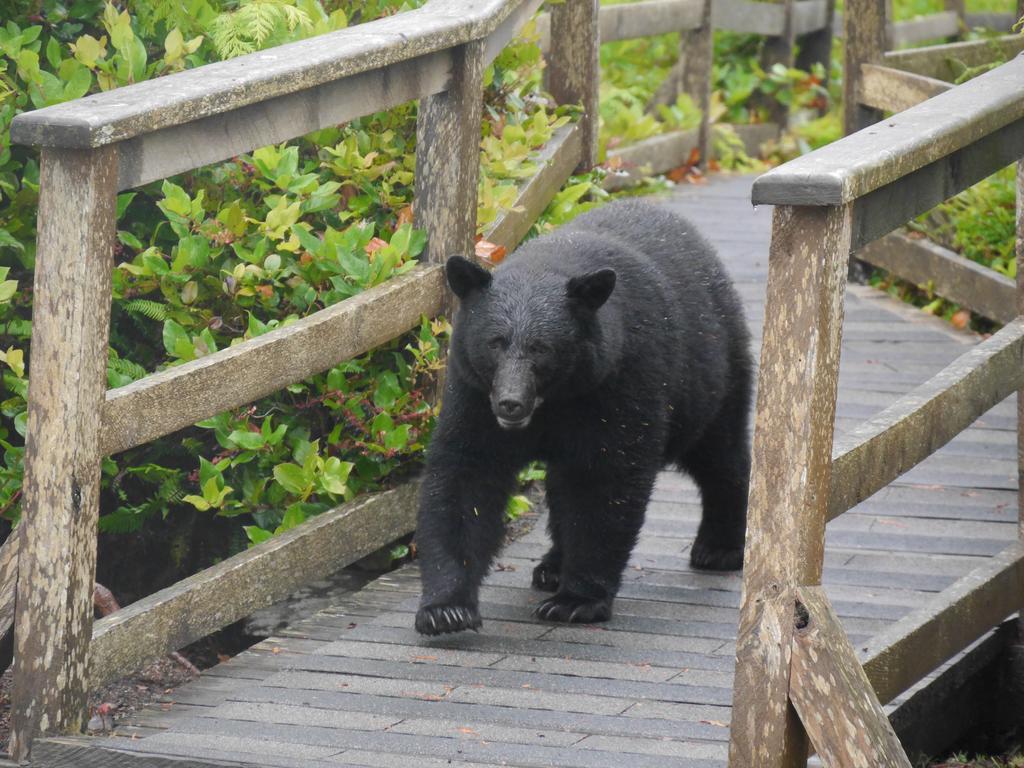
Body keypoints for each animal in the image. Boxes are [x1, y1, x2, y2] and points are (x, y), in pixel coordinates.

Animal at [413, 198, 753, 638]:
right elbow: (465, 476)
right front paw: (446, 609)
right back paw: (552, 567)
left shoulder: (619, 381)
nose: (510, 404)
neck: (555, 401)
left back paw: (721, 546)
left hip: (711, 373)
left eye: (541, 348)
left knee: (721, 454)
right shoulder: (473, 391)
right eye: (495, 343)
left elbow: (604, 482)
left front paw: (576, 601)